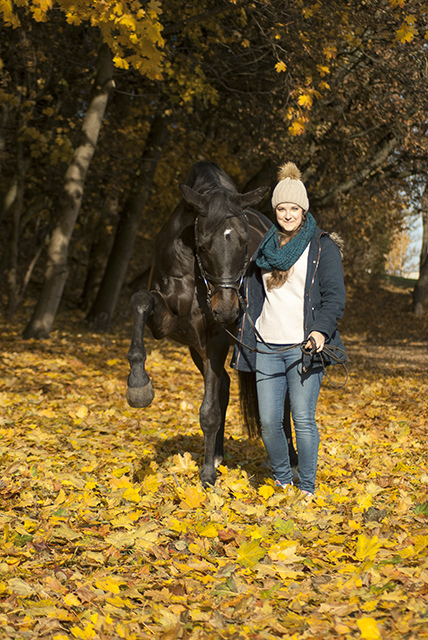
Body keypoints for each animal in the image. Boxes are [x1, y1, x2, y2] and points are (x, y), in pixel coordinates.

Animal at [125, 161, 296, 484]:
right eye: (203, 246)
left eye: (244, 244)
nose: (227, 311)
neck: (195, 275)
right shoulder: (169, 325)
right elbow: (140, 300)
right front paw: (138, 386)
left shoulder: (217, 337)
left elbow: (210, 412)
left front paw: (206, 474)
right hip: (197, 348)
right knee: (225, 386)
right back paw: (217, 453)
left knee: (284, 395)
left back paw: (291, 458)